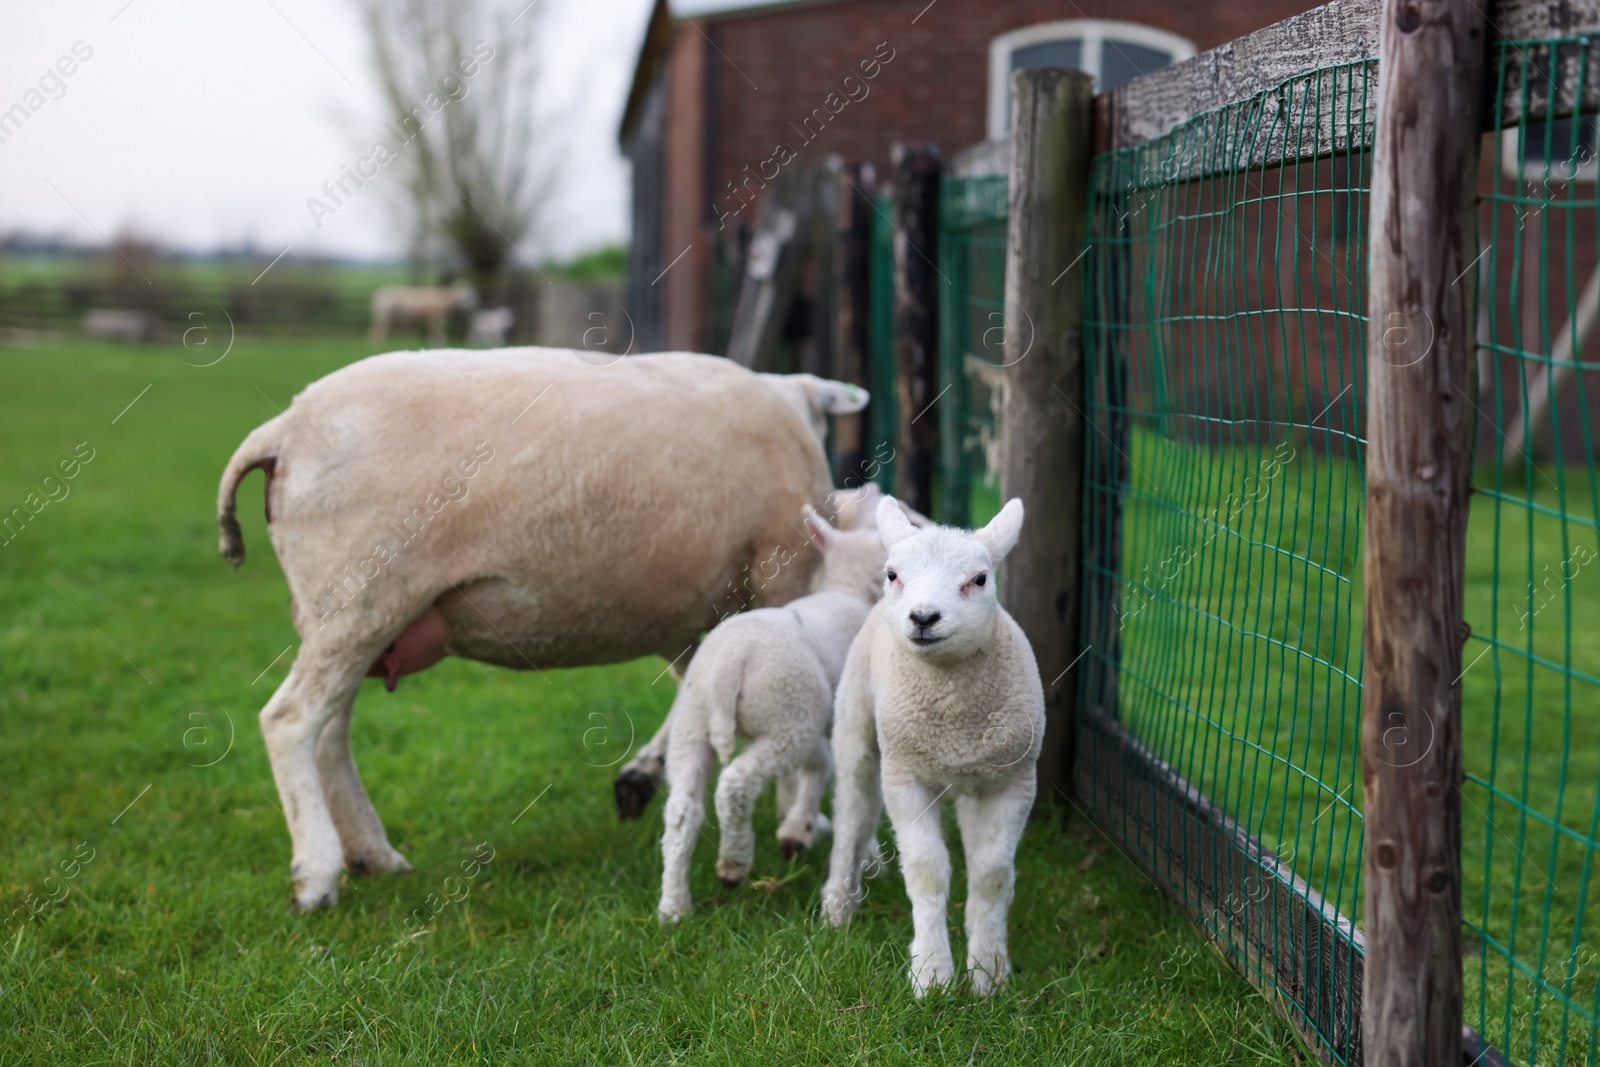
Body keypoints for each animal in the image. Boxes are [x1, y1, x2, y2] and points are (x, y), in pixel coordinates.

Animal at [219, 348, 870, 908]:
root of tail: (281, 431)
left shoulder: (694, 616)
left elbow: (694, 695)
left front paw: (648, 777)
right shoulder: (779, 571)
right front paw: (797, 820)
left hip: (350, 613)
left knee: (330, 732)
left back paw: (371, 854)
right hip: (361, 594)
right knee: (291, 721)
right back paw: (316, 874)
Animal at [659, 489, 896, 921]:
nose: (873, 491)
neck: (844, 590)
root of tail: (730, 663)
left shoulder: (820, 721)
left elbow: (820, 766)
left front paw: (799, 829)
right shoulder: (833, 720)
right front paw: (865, 856)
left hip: (694, 722)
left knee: (683, 811)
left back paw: (674, 906)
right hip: (786, 718)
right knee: (735, 783)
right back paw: (734, 861)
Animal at [819, 495, 1043, 998]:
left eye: (980, 579)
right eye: (892, 574)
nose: (923, 618)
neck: (953, 713)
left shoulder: (1013, 781)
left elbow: (991, 875)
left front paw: (988, 973)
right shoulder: (906, 777)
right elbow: (926, 869)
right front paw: (933, 975)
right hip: (858, 731)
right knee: (852, 814)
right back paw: (837, 906)